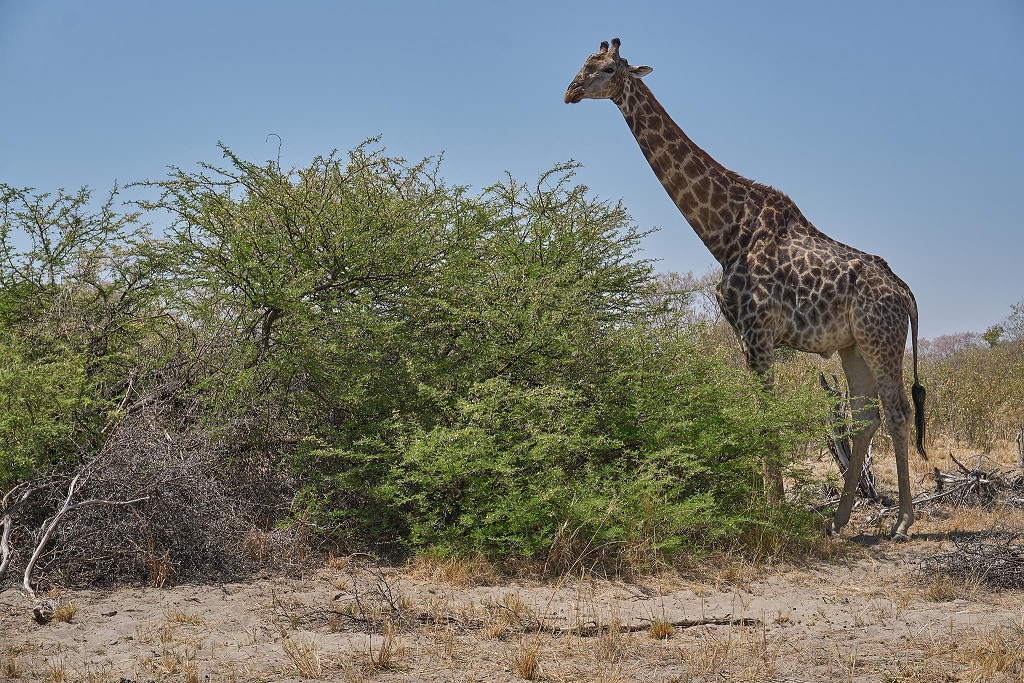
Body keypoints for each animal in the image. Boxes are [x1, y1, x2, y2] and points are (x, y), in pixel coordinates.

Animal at [569, 38, 929, 540]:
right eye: (582, 63)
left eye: (604, 69)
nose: (570, 91)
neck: (725, 233)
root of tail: (906, 293)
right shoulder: (747, 336)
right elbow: (763, 417)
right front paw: (770, 506)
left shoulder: (757, 333)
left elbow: (767, 418)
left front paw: (772, 511)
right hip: (853, 346)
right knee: (865, 417)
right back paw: (838, 519)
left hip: (883, 339)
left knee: (896, 412)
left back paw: (901, 521)